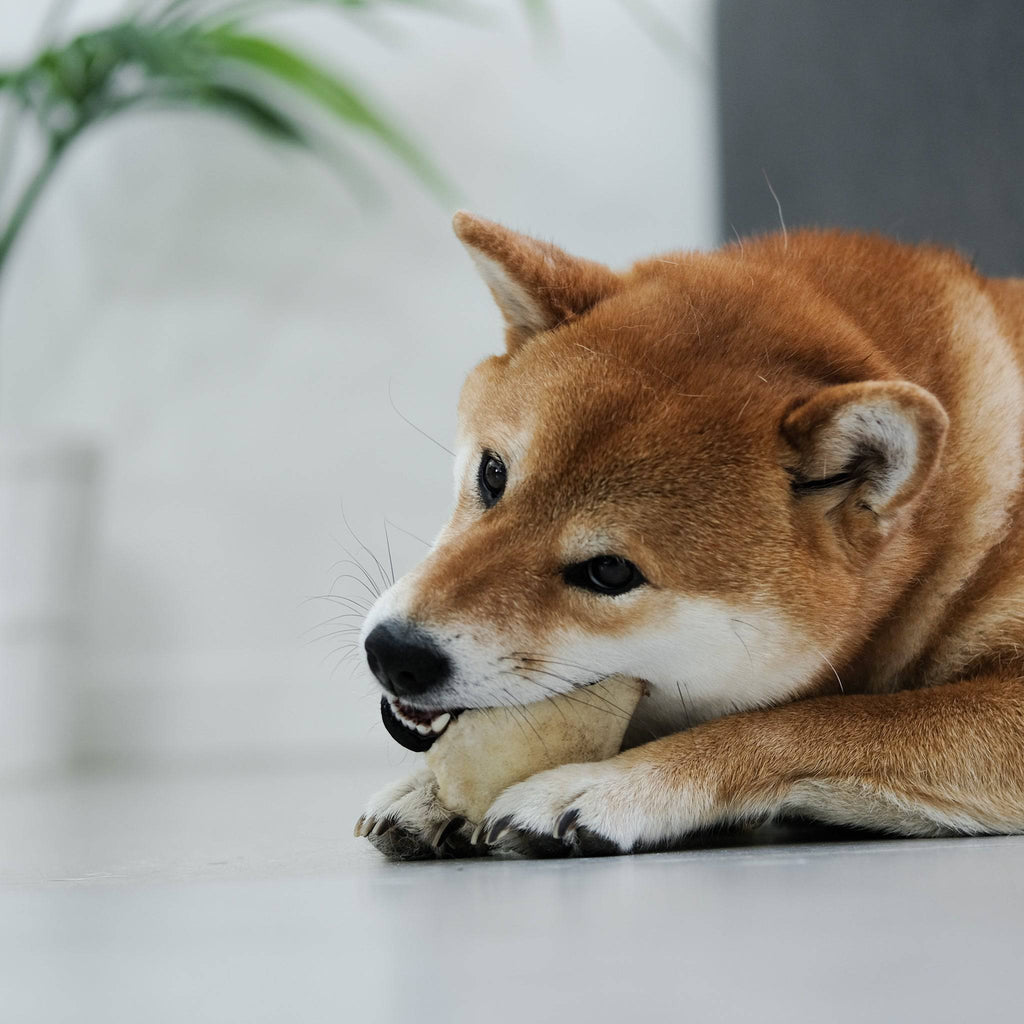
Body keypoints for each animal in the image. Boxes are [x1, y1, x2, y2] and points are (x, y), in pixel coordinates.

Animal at [356, 209, 1024, 856]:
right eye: (493, 474)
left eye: (610, 571)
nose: (394, 653)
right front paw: (428, 791)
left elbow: (808, 720)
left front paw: (606, 783)